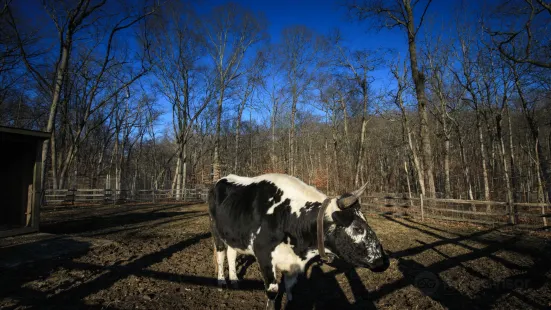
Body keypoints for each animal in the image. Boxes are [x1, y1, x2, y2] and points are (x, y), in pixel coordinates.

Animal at [208, 173, 392, 308]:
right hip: (216, 232)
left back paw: (234, 280)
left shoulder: (293, 262)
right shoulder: (264, 254)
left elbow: (290, 286)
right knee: (221, 255)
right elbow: (272, 291)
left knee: (231, 254)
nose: (384, 261)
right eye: (358, 228)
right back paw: (222, 282)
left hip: (232, 235)